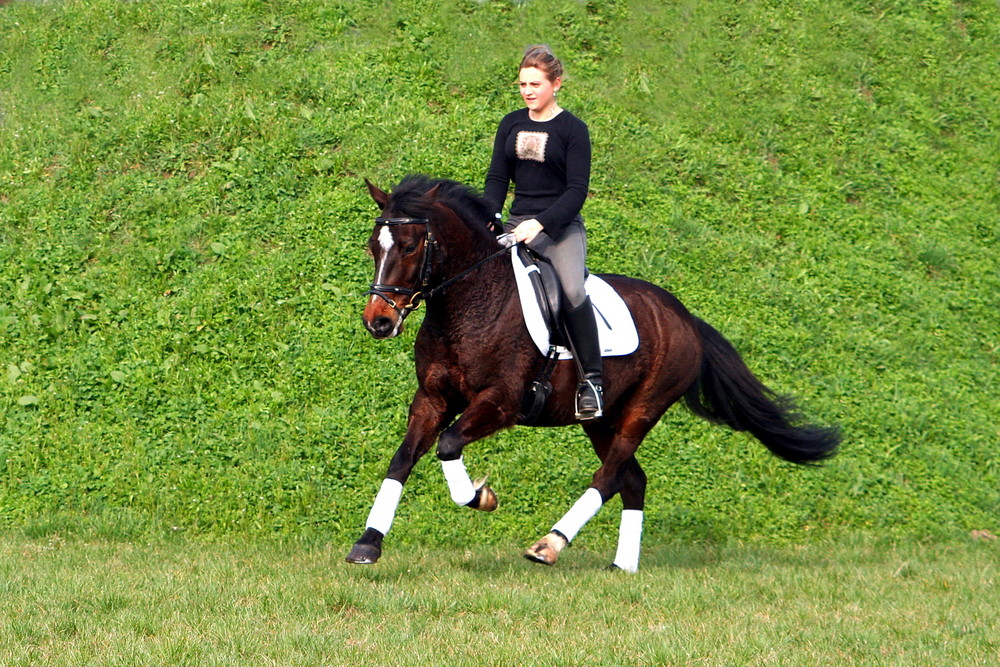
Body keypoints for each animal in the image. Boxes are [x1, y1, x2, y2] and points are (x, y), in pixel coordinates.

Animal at [348, 175, 840, 572]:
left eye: (410, 246)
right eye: (373, 247)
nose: (378, 322)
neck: (470, 303)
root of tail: (684, 317)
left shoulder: (500, 402)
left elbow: (449, 444)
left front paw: (480, 497)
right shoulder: (432, 398)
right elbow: (402, 459)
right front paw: (368, 544)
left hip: (642, 410)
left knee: (609, 477)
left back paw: (550, 544)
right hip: (601, 419)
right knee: (632, 480)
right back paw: (623, 566)